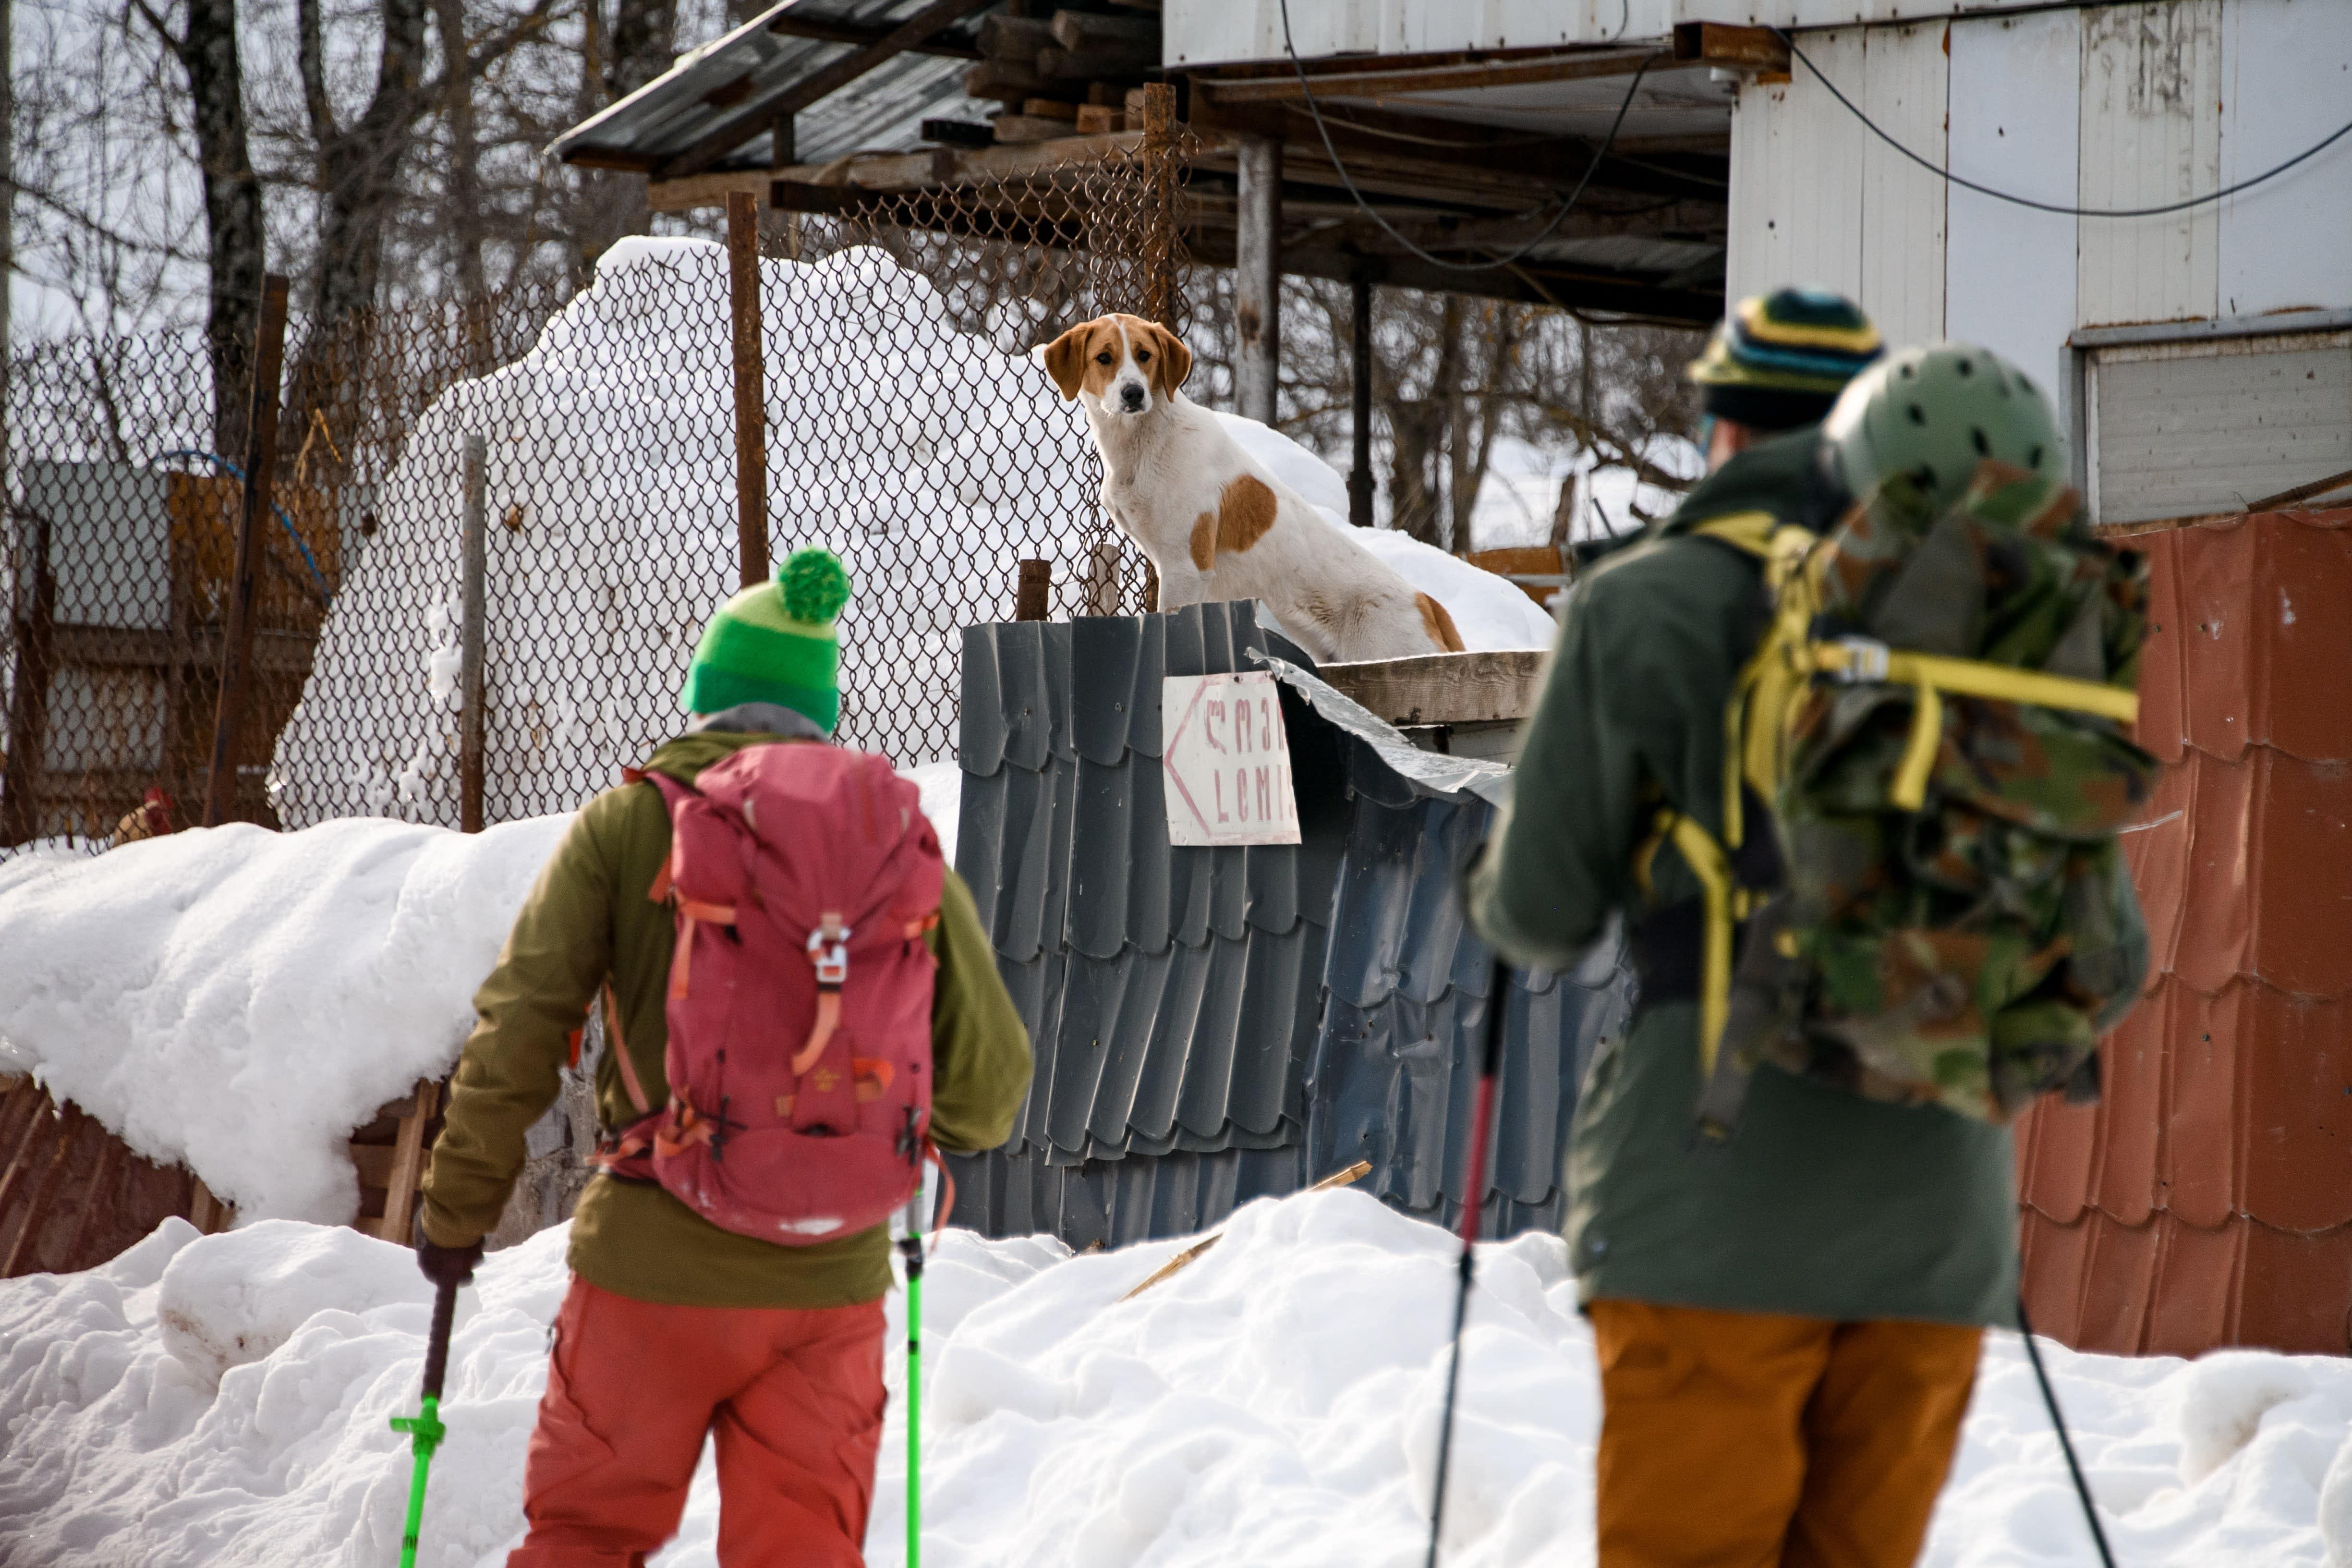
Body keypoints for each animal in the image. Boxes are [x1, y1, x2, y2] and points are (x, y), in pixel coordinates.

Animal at [1035, 313, 1458, 663]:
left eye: (1144, 355)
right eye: (1104, 358)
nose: (1134, 393)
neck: (1145, 440)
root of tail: (1427, 602)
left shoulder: (1186, 568)